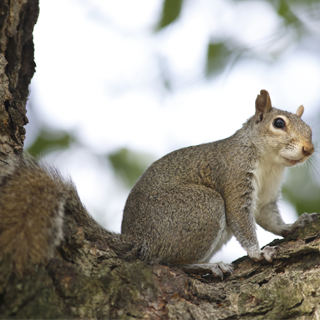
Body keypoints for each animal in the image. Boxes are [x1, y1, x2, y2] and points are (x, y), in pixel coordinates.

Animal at [0, 90, 316, 278]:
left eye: (311, 130)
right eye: (278, 123)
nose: (308, 150)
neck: (270, 162)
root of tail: (139, 240)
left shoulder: (266, 195)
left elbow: (269, 218)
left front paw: (294, 226)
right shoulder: (235, 174)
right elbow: (241, 218)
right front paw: (258, 252)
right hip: (201, 207)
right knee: (165, 261)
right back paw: (207, 265)